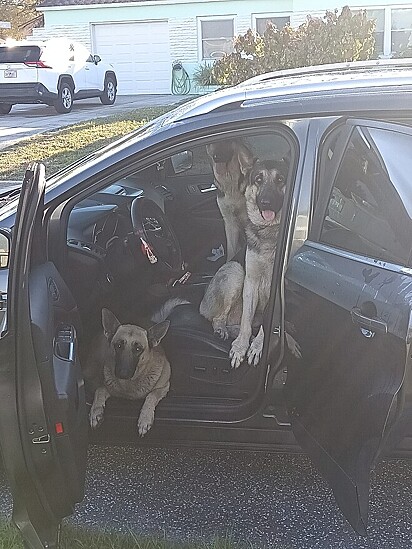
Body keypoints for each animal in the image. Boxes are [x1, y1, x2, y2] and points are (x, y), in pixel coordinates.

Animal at [200, 158, 300, 368]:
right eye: (258, 179)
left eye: (280, 179)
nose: (266, 202)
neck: (270, 232)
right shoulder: (251, 282)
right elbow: (246, 321)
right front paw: (241, 347)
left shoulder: (277, 290)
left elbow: (268, 323)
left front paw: (258, 345)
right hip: (236, 272)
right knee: (219, 319)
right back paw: (222, 330)